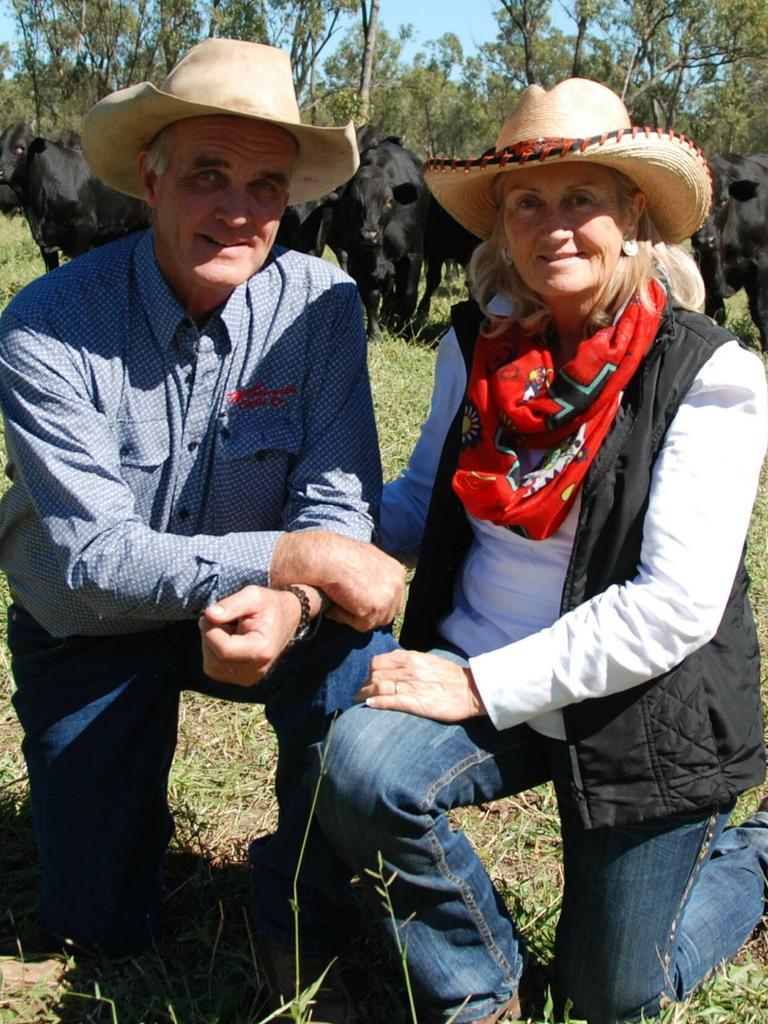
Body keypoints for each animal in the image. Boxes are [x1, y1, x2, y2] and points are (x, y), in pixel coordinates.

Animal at [692, 151, 768, 350]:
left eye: (725, 200)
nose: (706, 240)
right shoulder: (704, 264)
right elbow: (715, 311)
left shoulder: (761, 263)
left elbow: (761, 311)